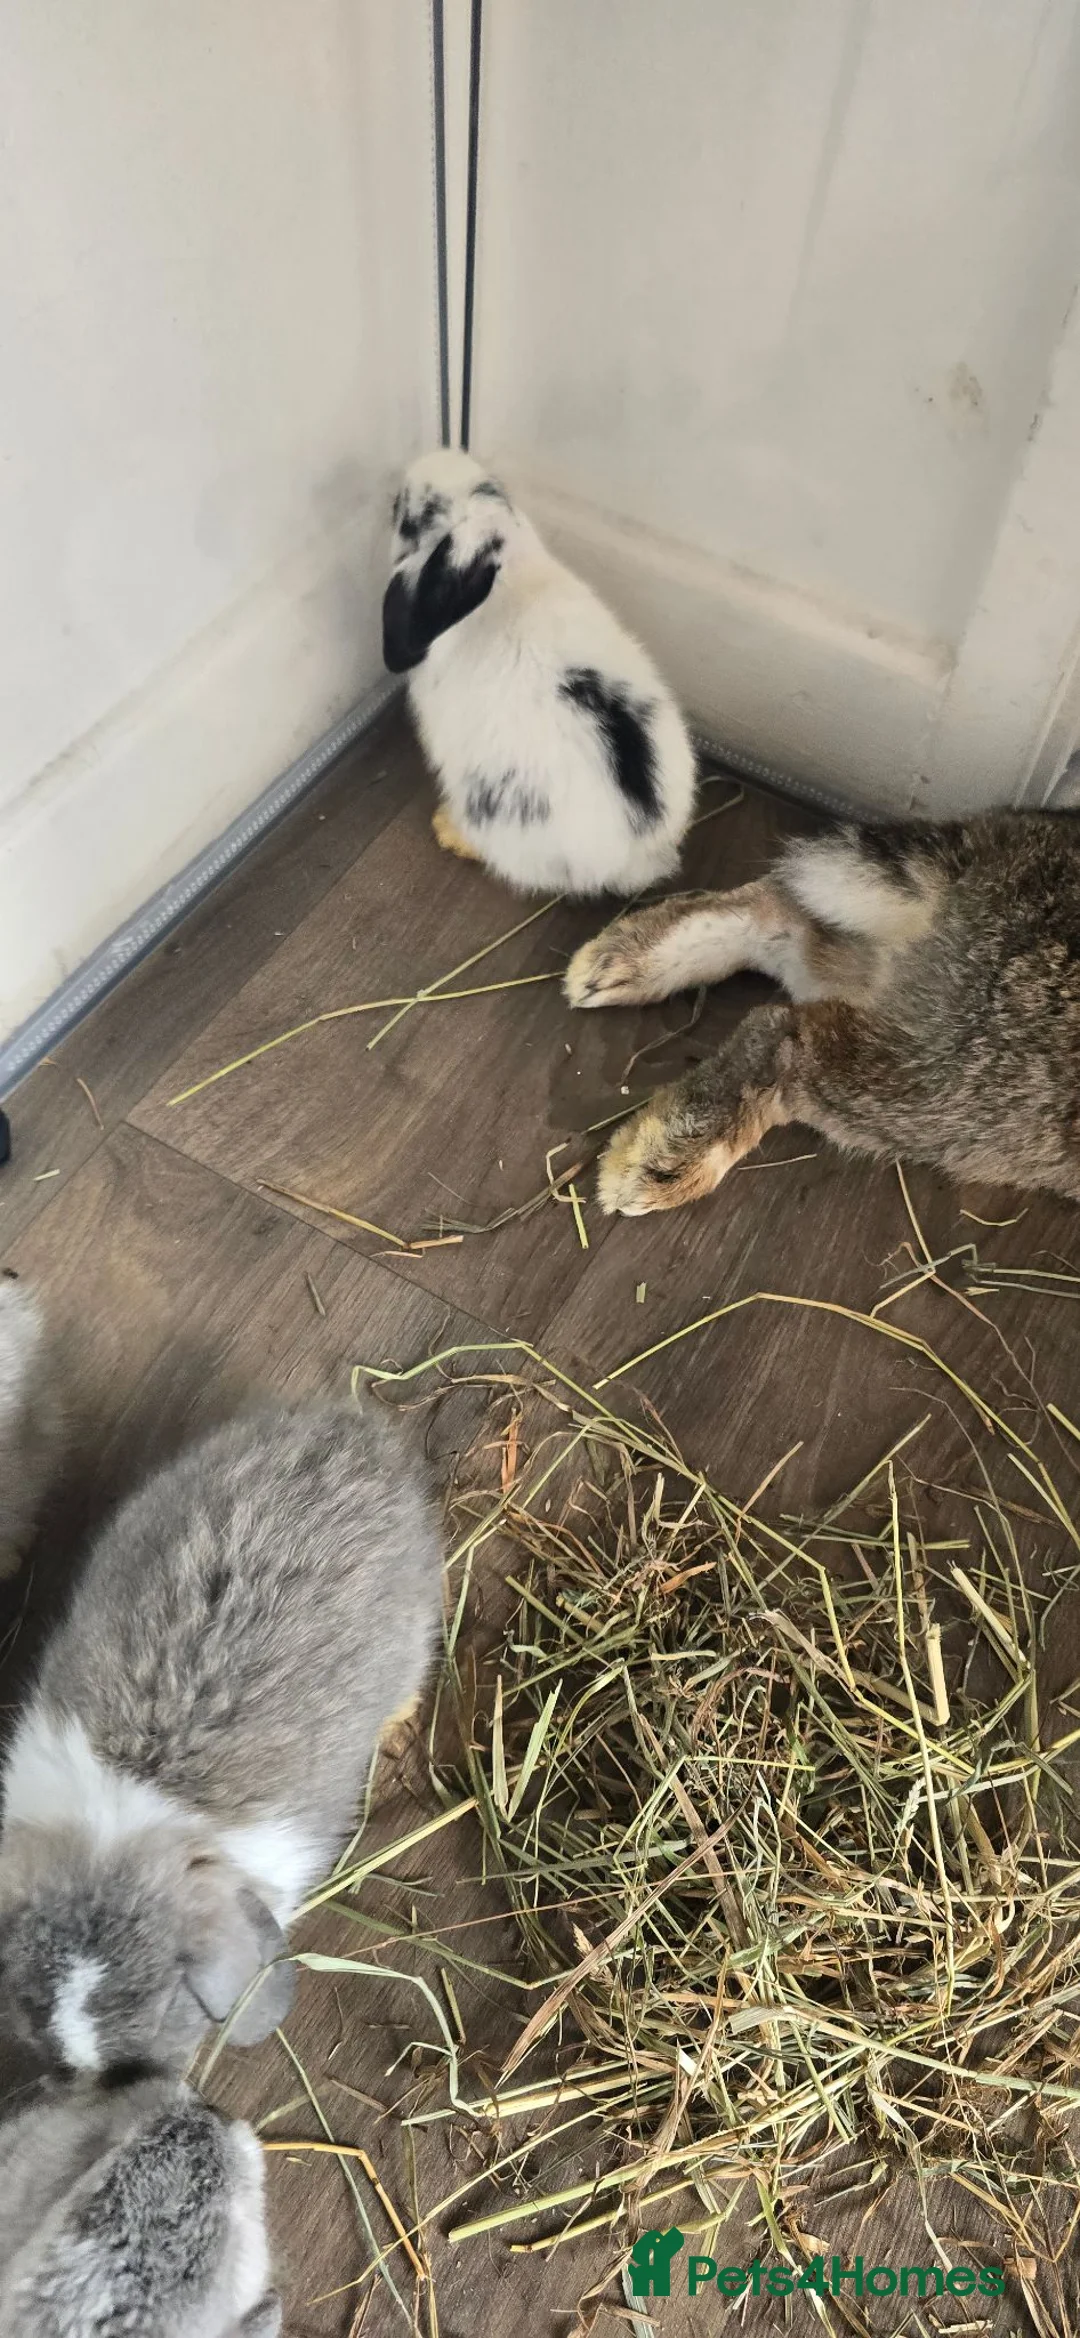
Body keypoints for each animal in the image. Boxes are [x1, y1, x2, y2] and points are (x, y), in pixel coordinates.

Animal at [382, 448, 697, 896]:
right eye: (492, 486)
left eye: (417, 517)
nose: (417, 467)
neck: (506, 574)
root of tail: (639, 853)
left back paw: (449, 830)